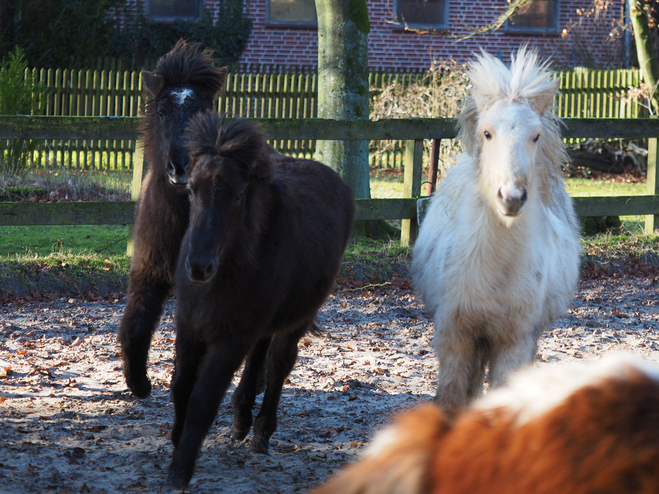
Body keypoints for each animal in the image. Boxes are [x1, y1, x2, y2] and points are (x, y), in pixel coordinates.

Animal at [118, 40, 229, 400]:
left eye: (202, 112)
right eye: (162, 112)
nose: (180, 167)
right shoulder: (148, 267)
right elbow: (136, 322)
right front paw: (138, 383)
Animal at [168, 112, 358, 486]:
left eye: (239, 194)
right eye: (191, 189)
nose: (198, 266)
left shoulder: (230, 338)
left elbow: (203, 400)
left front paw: (180, 470)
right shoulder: (190, 325)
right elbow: (181, 388)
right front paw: (175, 446)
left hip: (297, 316)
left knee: (280, 361)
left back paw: (261, 432)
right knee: (260, 355)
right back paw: (241, 420)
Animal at [416, 48, 580, 412]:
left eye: (535, 136)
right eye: (488, 133)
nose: (512, 197)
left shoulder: (513, 341)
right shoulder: (456, 336)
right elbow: (452, 396)